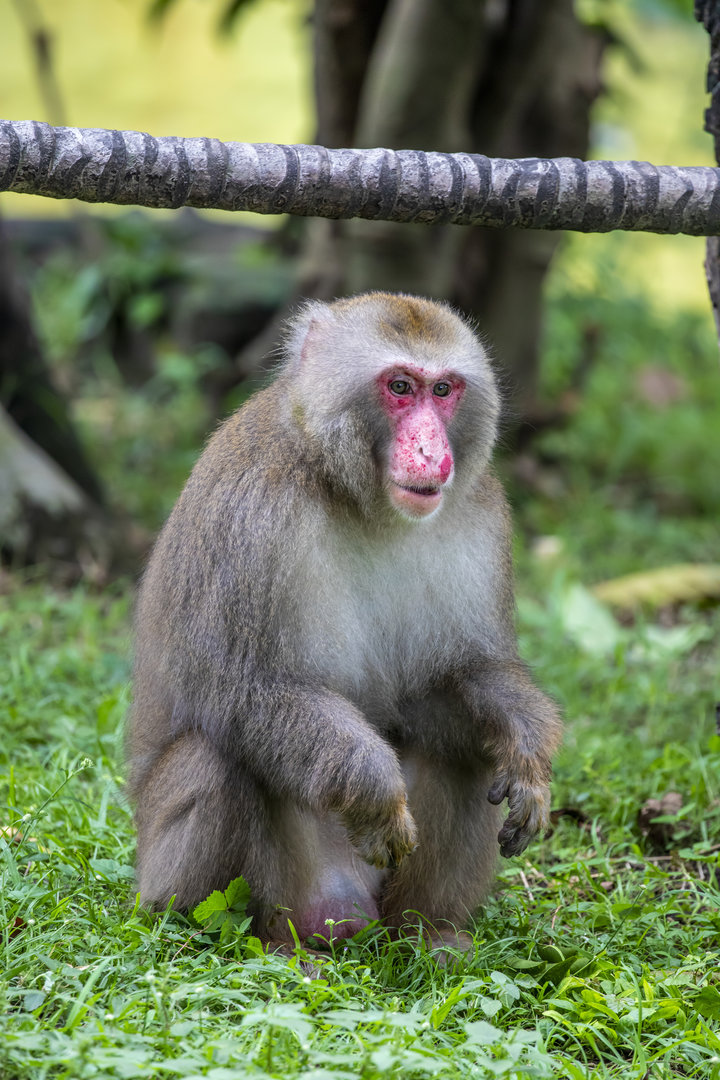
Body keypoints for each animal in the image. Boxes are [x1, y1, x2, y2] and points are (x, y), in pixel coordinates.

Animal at [127, 291, 562, 953]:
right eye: (400, 386)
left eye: (443, 390)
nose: (432, 452)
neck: (360, 498)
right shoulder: (251, 514)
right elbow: (241, 690)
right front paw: (375, 786)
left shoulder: (481, 513)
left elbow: (462, 676)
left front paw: (527, 746)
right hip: (241, 883)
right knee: (215, 757)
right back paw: (258, 946)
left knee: (465, 749)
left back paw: (431, 936)